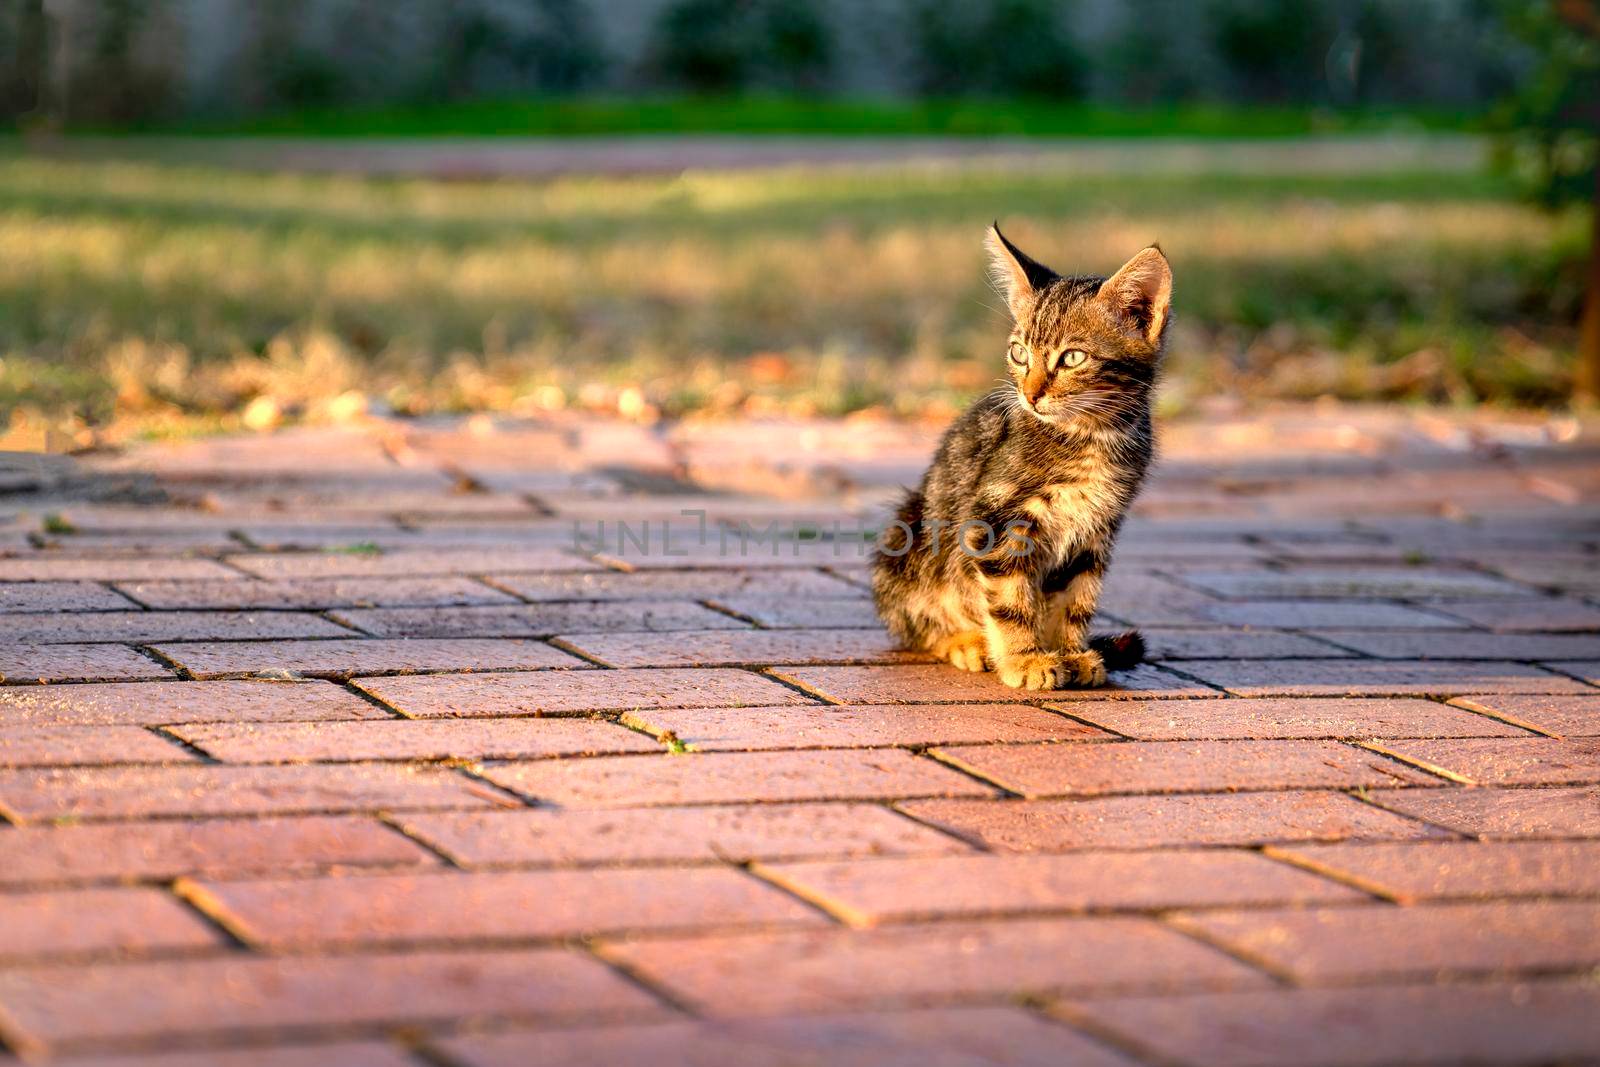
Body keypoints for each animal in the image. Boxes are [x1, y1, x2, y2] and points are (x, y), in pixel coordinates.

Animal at [870, 225, 1171, 694]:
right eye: (1019, 353)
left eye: (1073, 358)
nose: (1030, 395)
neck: (1089, 435)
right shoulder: (995, 517)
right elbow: (1010, 598)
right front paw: (1024, 658)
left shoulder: (1097, 527)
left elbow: (1076, 596)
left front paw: (1069, 652)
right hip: (909, 535)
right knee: (915, 623)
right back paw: (967, 641)